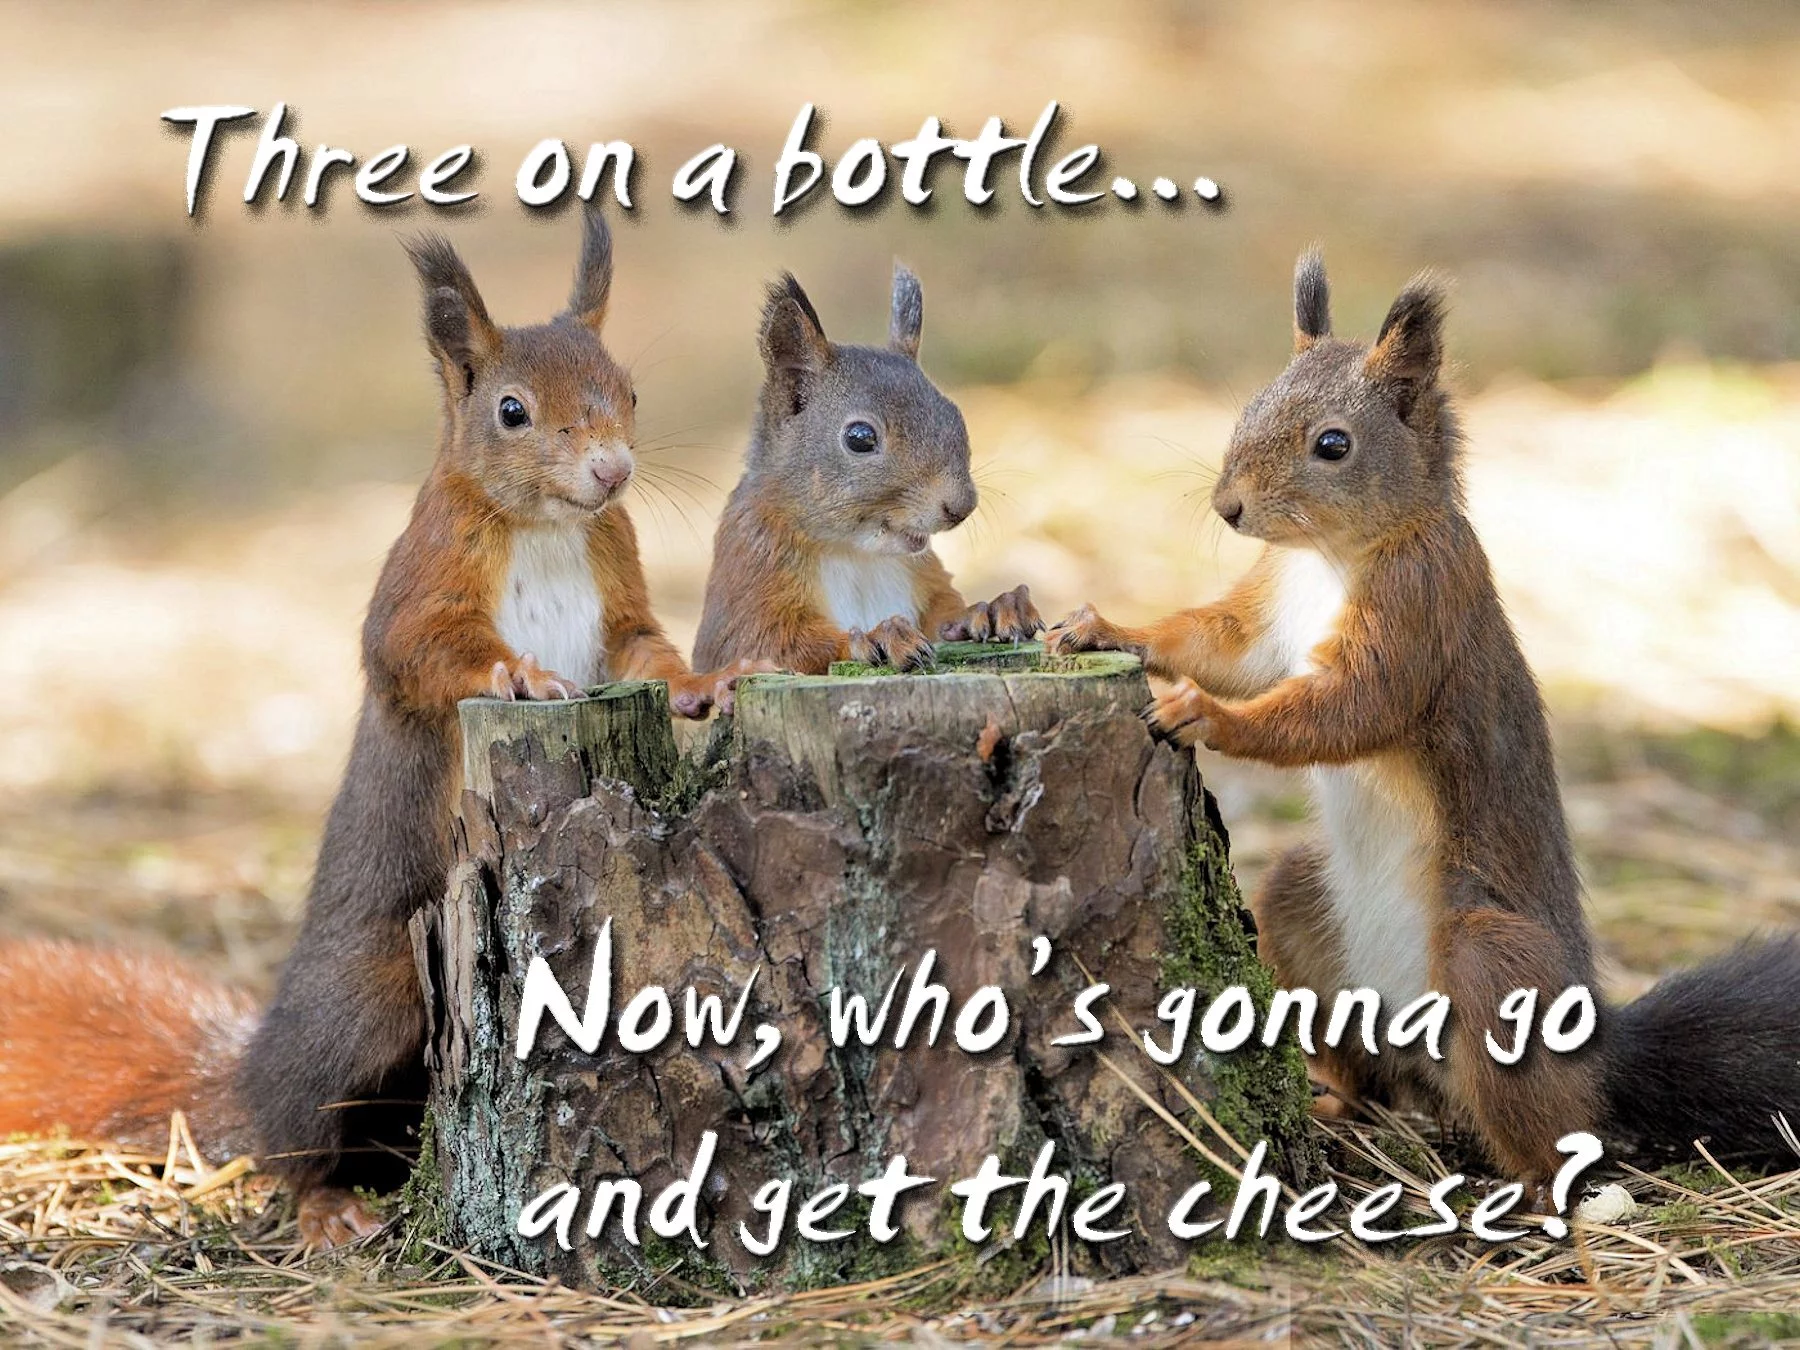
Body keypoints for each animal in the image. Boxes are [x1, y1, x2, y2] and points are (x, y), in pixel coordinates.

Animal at [0, 208, 751, 1248]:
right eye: (511, 411)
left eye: (630, 390)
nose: (612, 472)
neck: (549, 528)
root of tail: (254, 1068)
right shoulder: (418, 590)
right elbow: (422, 654)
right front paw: (523, 674)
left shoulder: (621, 597)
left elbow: (649, 654)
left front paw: (705, 684)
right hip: (372, 1002)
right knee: (293, 1141)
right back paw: (326, 1205)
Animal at [692, 266, 1041, 675]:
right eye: (859, 438)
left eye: (955, 414)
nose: (961, 506)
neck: (856, 553)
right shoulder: (750, 574)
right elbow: (769, 647)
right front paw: (879, 637)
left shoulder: (924, 576)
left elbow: (944, 617)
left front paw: (993, 610)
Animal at [1047, 252, 1800, 1188]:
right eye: (1250, 406)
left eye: (1333, 444)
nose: (1228, 507)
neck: (1330, 558)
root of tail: (1598, 1043)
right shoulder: (1267, 616)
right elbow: (1218, 643)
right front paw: (1106, 628)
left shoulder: (1419, 609)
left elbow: (1347, 708)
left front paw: (1206, 715)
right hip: (1303, 906)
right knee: (1374, 1068)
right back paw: (1338, 1105)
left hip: (1489, 964)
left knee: (1555, 1130)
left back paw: (1535, 1193)